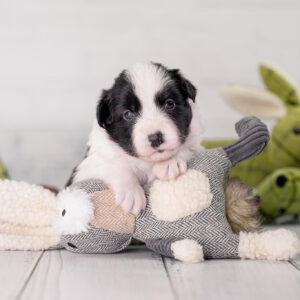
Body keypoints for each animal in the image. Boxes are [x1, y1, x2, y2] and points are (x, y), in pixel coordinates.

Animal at [70, 62, 204, 214]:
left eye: (169, 104)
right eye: (128, 114)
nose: (155, 138)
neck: (147, 161)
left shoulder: (198, 145)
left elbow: (188, 147)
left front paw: (170, 162)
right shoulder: (87, 168)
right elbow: (116, 165)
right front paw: (131, 194)